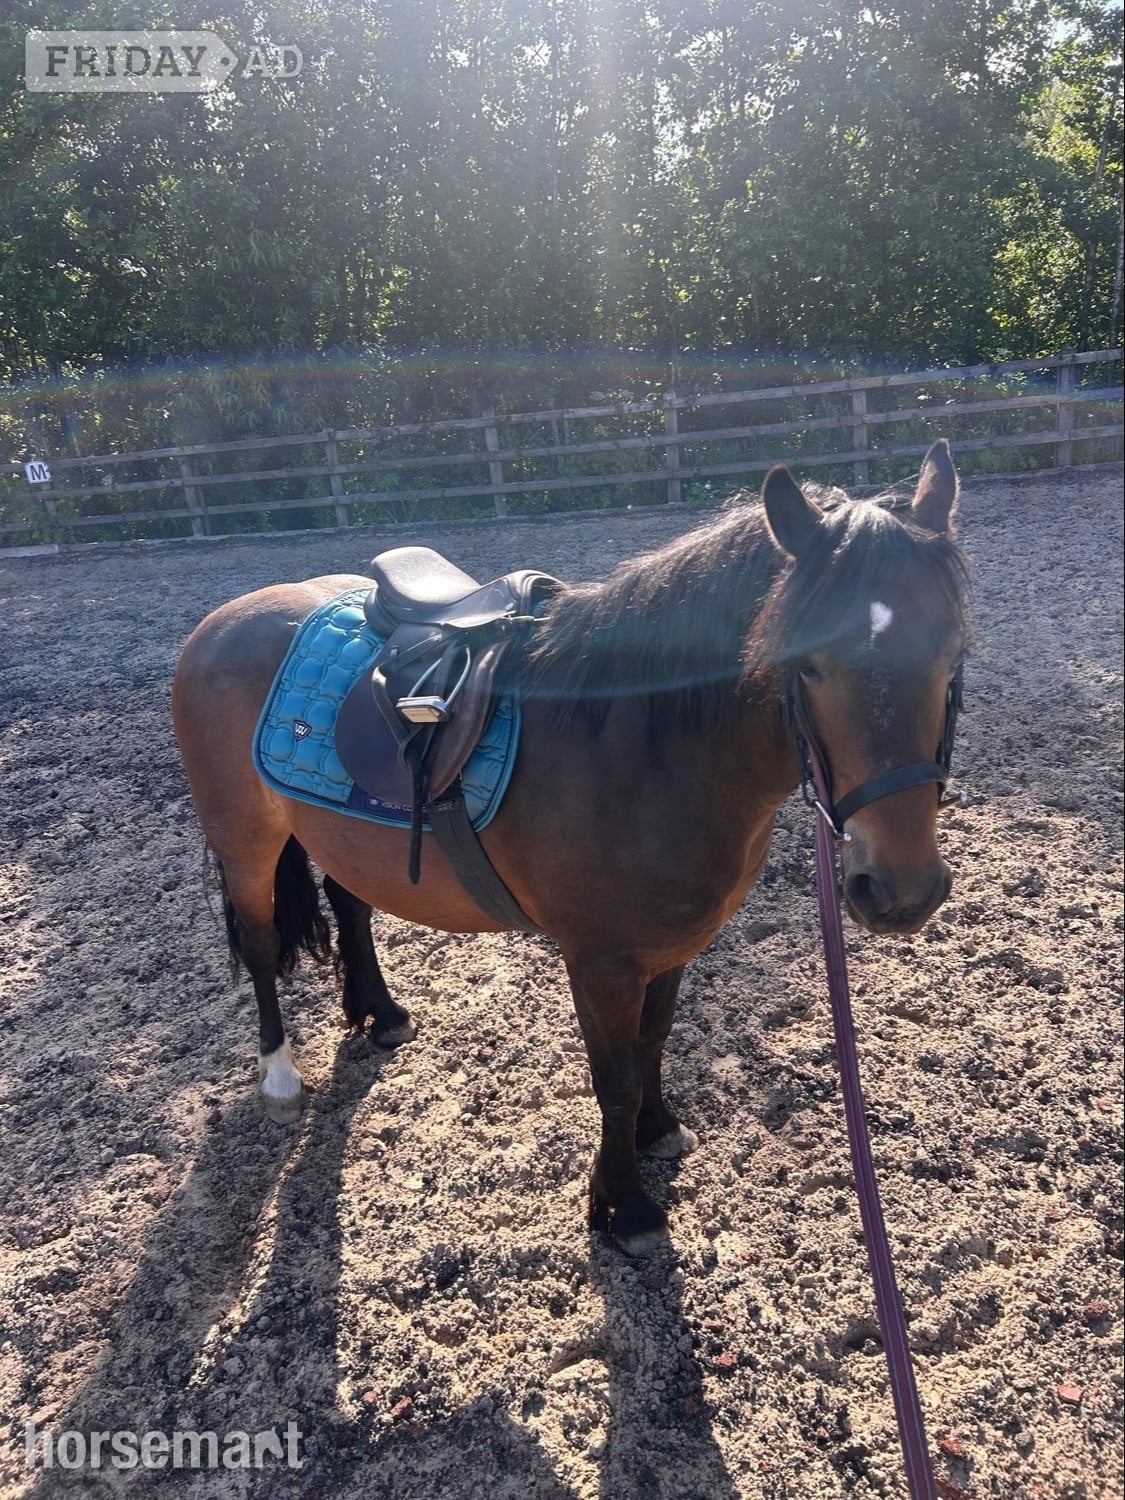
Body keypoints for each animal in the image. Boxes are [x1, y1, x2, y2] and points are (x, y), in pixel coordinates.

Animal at [171, 439, 969, 1256]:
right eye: (807, 664)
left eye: (953, 651)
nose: (901, 889)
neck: (642, 750)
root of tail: (227, 620)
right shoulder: (600, 961)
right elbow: (613, 1078)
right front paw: (626, 1206)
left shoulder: (672, 947)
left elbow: (652, 1043)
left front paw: (658, 1129)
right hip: (245, 841)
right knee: (261, 946)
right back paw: (279, 1078)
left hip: (337, 832)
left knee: (351, 907)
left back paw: (380, 1013)